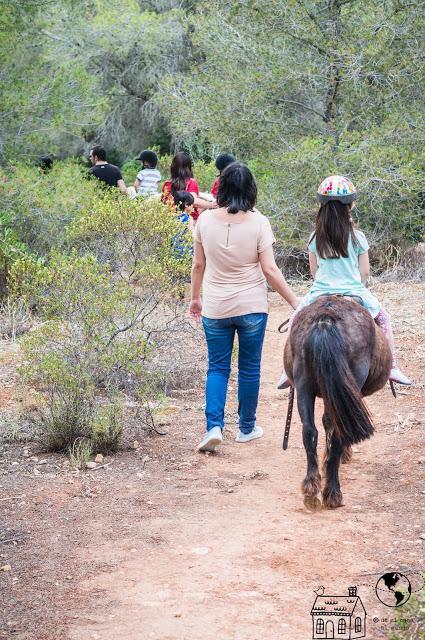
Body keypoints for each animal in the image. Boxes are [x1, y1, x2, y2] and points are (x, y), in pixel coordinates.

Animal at [283, 295, 392, 510]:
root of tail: (325, 320)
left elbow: (326, 422)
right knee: (341, 432)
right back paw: (333, 493)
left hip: (304, 384)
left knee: (309, 431)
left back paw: (311, 490)